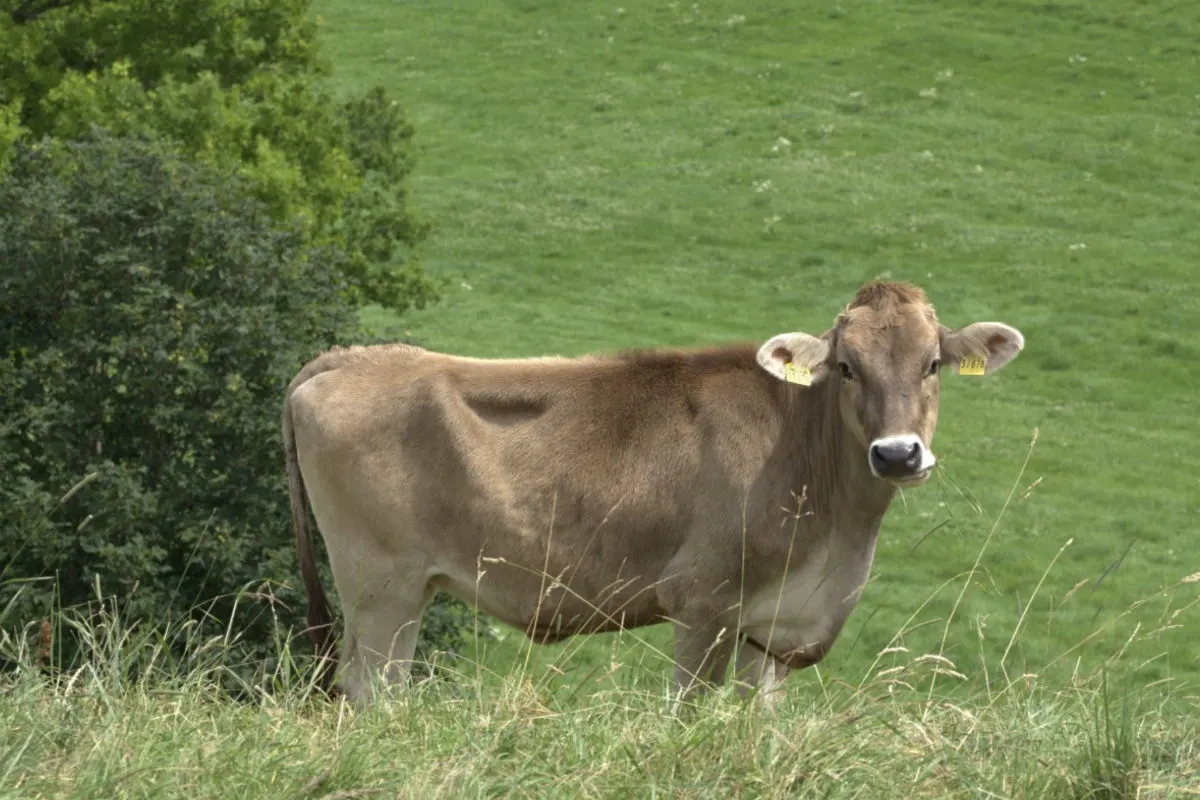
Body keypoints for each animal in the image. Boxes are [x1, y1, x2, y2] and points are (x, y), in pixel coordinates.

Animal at [282, 280, 1024, 706]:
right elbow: (686, 713)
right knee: (371, 691)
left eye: (932, 364)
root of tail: (352, 356)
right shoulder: (703, 605)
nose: (897, 454)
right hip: (382, 586)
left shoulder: (776, 632)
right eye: (846, 366)